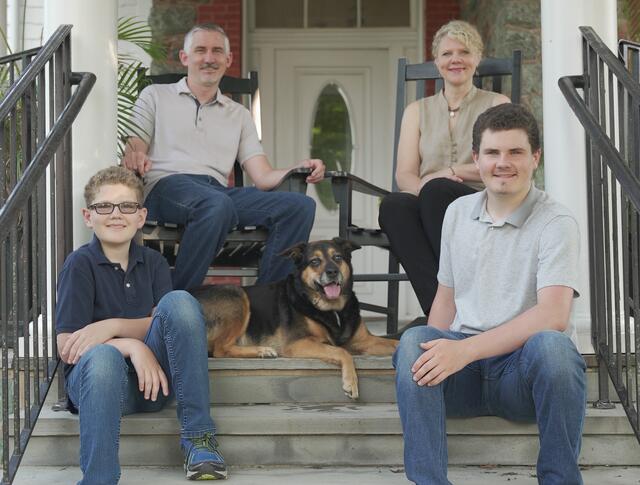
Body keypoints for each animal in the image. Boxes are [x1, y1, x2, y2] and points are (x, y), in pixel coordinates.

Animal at [190, 236, 398, 398]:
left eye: (338, 257)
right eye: (315, 261)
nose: (332, 272)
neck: (333, 309)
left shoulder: (365, 341)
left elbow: (396, 342)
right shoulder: (298, 343)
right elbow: (342, 351)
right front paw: (351, 383)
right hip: (236, 294)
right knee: (220, 350)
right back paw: (262, 350)